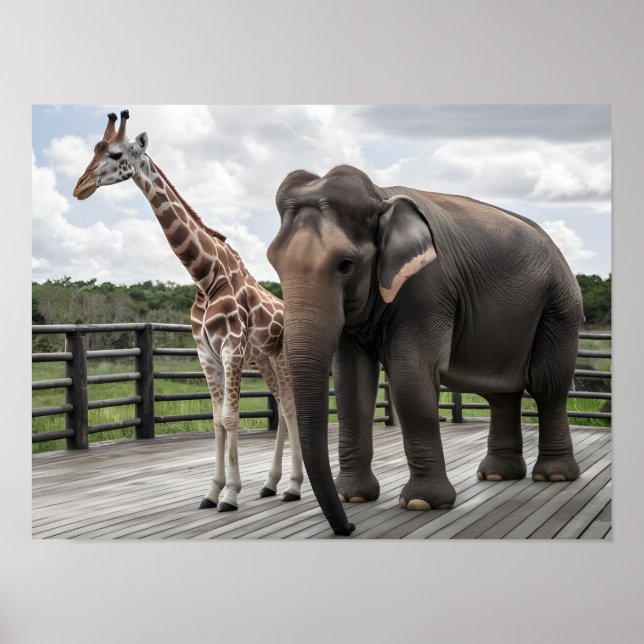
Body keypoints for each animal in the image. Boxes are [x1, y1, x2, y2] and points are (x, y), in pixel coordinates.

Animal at [73, 110, 303, 512]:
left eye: (115, 154)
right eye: (94, 150)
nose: (80, 187)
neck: (205, 276)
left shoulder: (230, 349)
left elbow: (231, 416)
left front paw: (230, 494)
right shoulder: (206, 353)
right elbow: (216, 420)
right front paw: (212, 492)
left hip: (283, 356)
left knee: (291, 409)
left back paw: (293, 486)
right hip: (265, 359)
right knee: (283, 408)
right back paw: (272, 484)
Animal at [267, 164, 583, 536]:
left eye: (345, 264)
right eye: (273, 263)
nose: (349, 528)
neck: (380, 195)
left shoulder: (428, 289)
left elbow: (410, 376)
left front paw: (423, 503)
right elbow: (350, 384)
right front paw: (353, 498)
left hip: (559, 306)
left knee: (548, 386)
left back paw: (554, 476)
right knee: (501, 391)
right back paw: (496, 475)